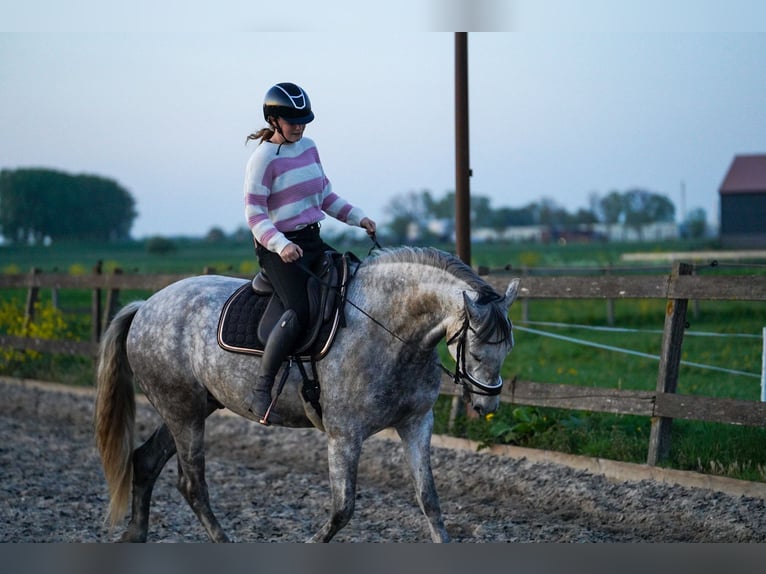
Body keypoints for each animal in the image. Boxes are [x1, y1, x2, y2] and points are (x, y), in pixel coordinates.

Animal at [94, 246, 520, 542]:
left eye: (509, 349)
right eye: (476, 352)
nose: (487, 404)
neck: (388, 330)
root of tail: (145, 305)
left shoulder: (416, 423)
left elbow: (429, 499)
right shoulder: (344, 434)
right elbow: (342, 509)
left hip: (189, 409)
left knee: (146, 461)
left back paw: (136, 535)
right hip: (182, 413)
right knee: (192, 484)